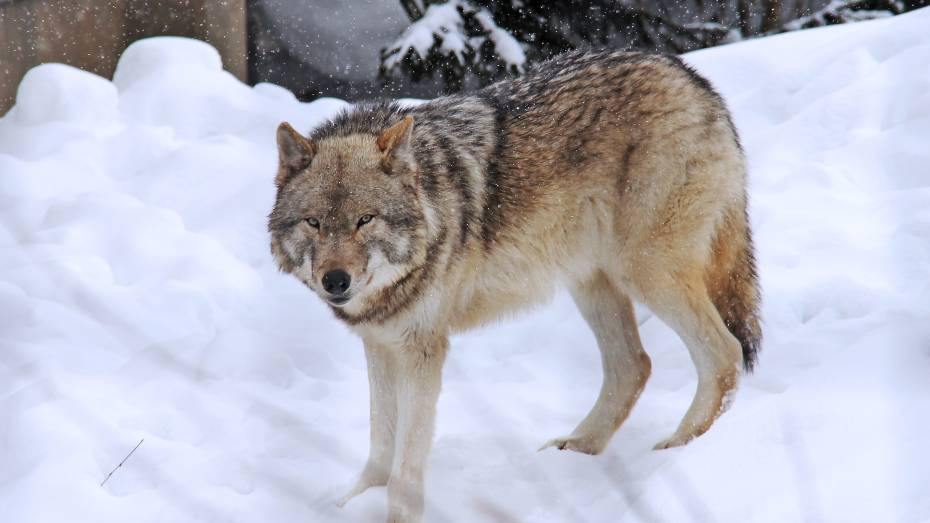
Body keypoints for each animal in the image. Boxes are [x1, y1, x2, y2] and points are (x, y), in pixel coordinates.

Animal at [268, 50, 760, 523]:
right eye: (314, 223)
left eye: (365, 220)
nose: (335, 281)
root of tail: (693, 79)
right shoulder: (381, 345)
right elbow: (380, 445)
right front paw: (356, 503)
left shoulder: (422, 350)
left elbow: (406, 461)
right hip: (592, 281)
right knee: (633, 365)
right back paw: (578, 449)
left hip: (646, 272)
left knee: (724, 353)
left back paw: (680, 450)